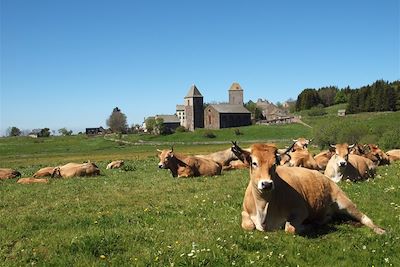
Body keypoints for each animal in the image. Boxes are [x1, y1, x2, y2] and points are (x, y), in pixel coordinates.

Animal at [231, 143, 384, 236]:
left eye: (274, 164)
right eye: (254, 163)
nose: (267, 184)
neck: (264, 206)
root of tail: (325, 178)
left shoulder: (301, 211)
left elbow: (290, 228)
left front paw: (309, 226)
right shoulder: (245, 211)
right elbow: (248, 225)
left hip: (344, 202)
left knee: (364, 217)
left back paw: (380, 230)